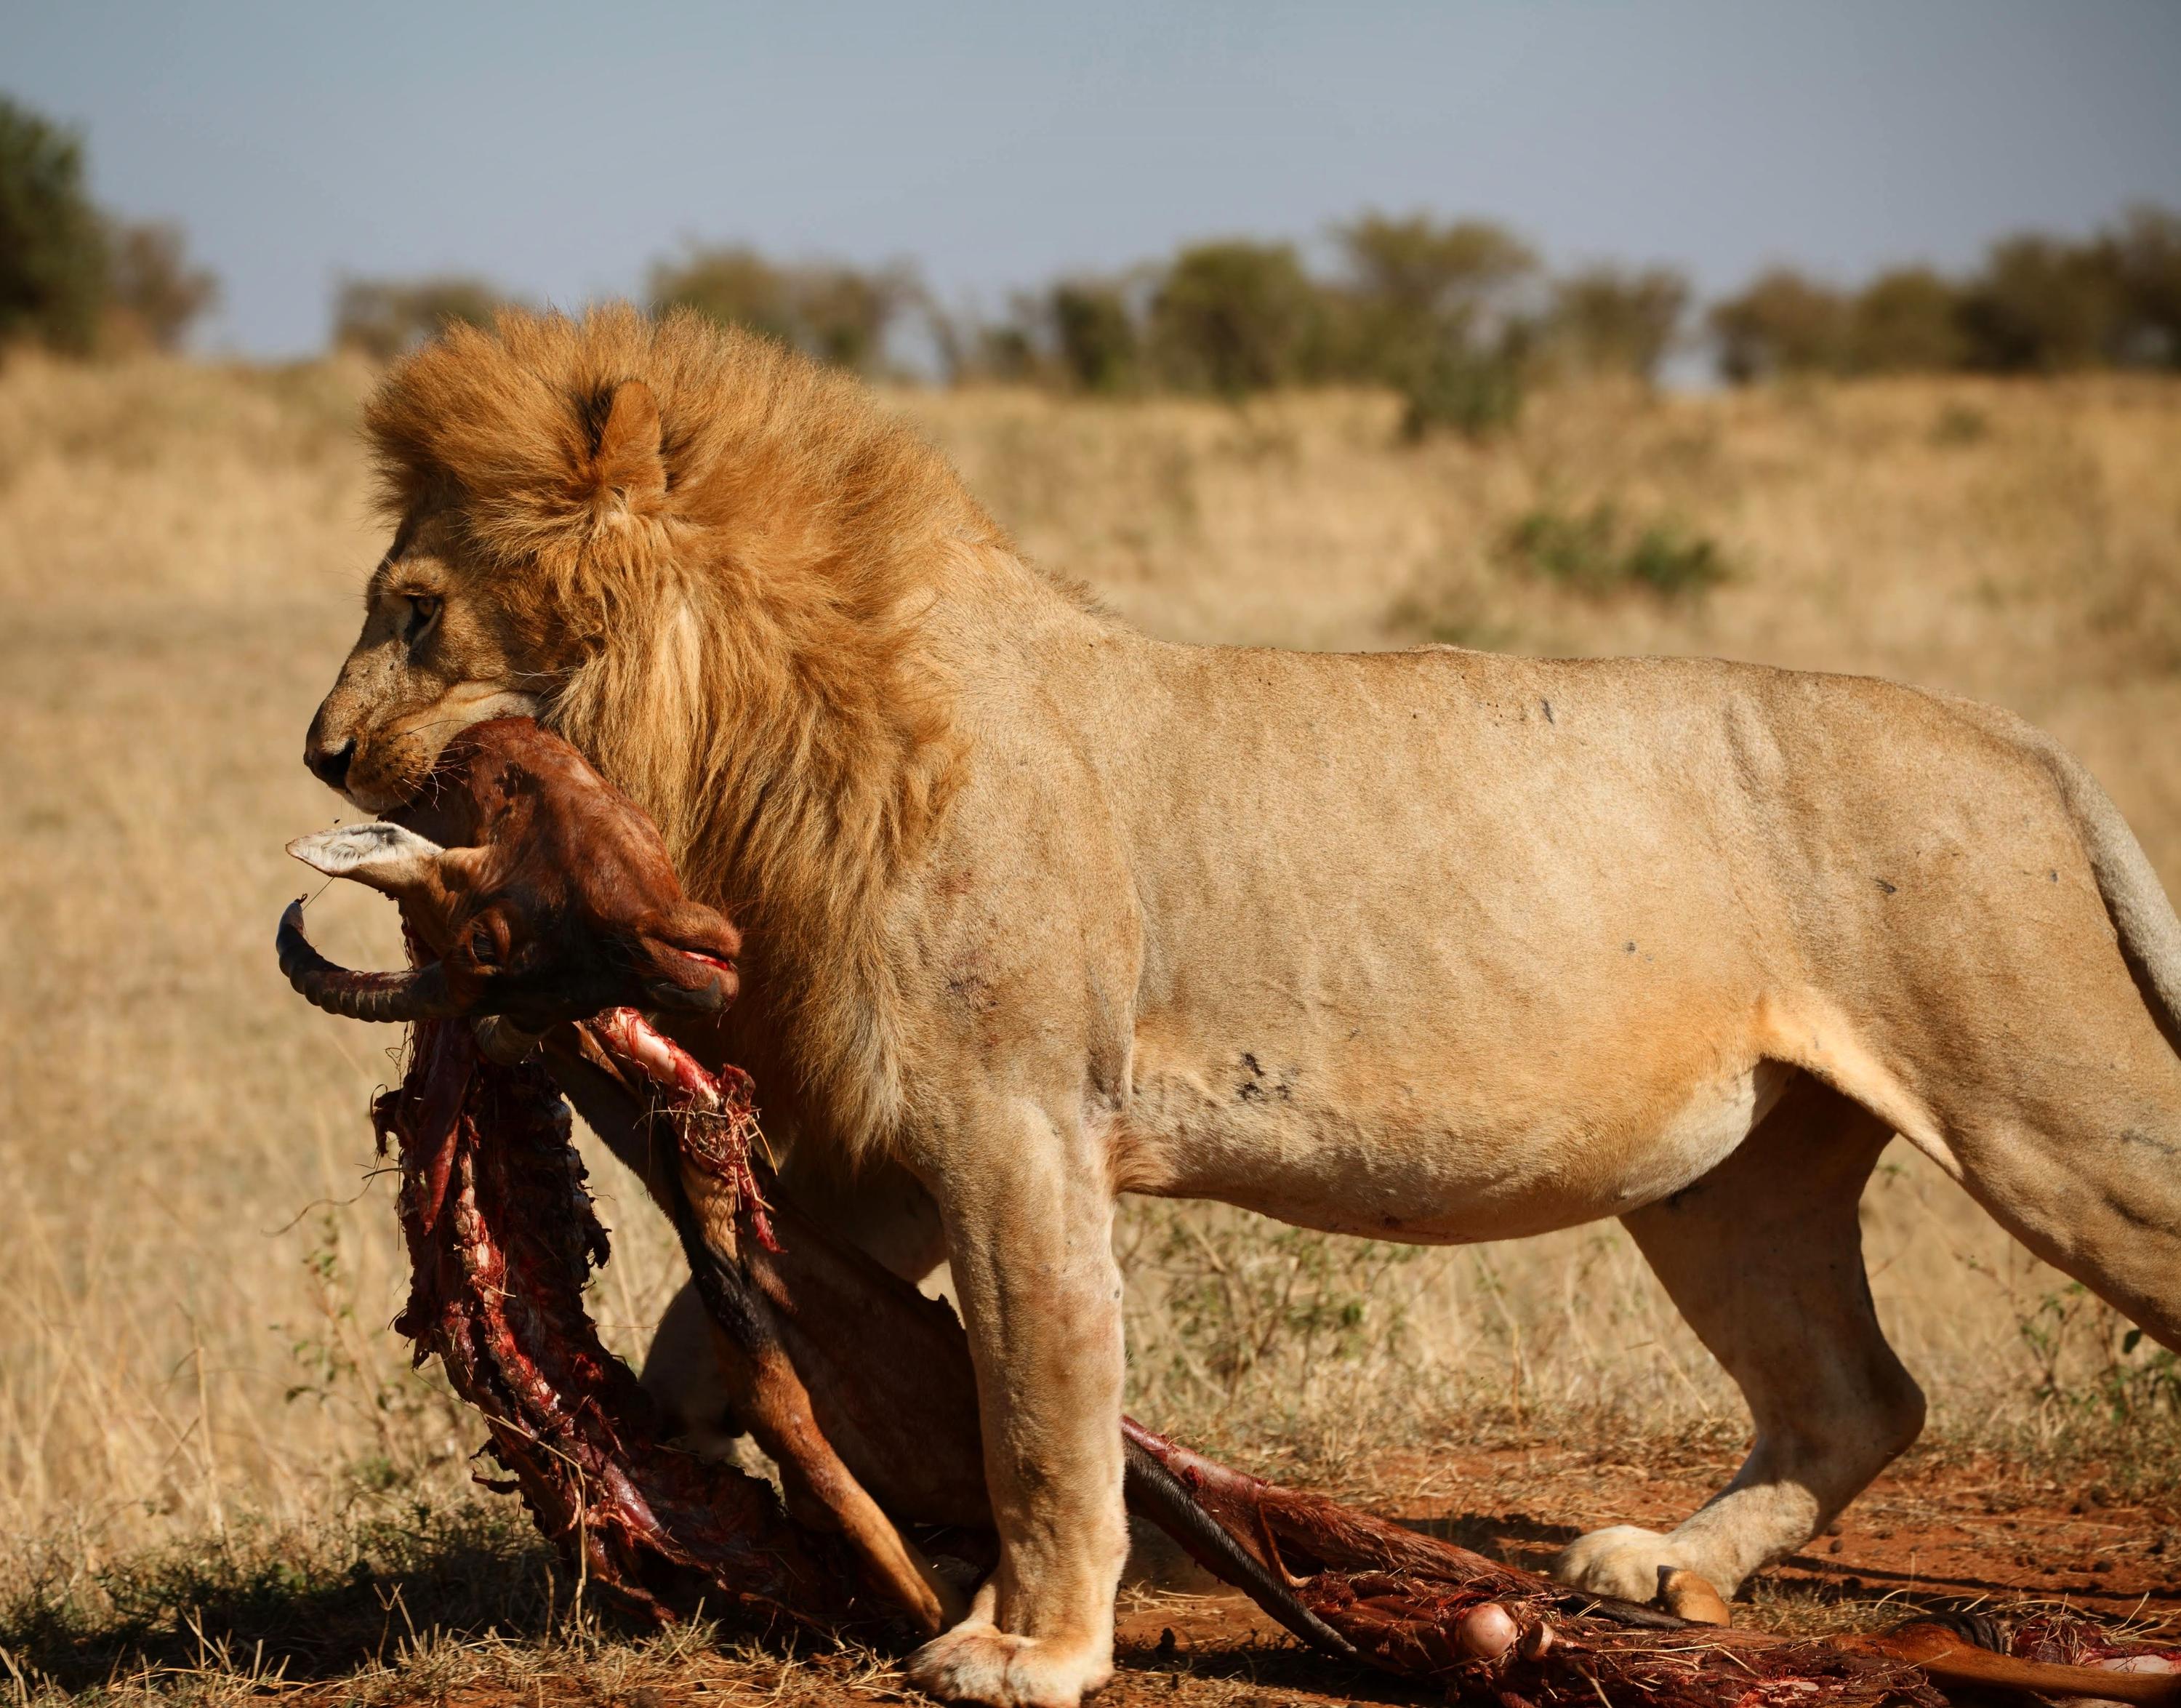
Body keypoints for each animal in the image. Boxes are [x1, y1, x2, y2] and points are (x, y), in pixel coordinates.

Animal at [308, 308, 2181, 1708]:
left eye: (414, 609)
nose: (322, 752)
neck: (768, 731)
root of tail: (2022, 742)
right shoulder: (882, 1138)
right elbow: (717, 1325)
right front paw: (679, 1463)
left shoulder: (1013, 1123)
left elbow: (1043, 1406)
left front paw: (1029, 1645)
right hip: (1732, 1175)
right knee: (1857, 1392)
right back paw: (1661, 1568)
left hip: (2047, 1122)